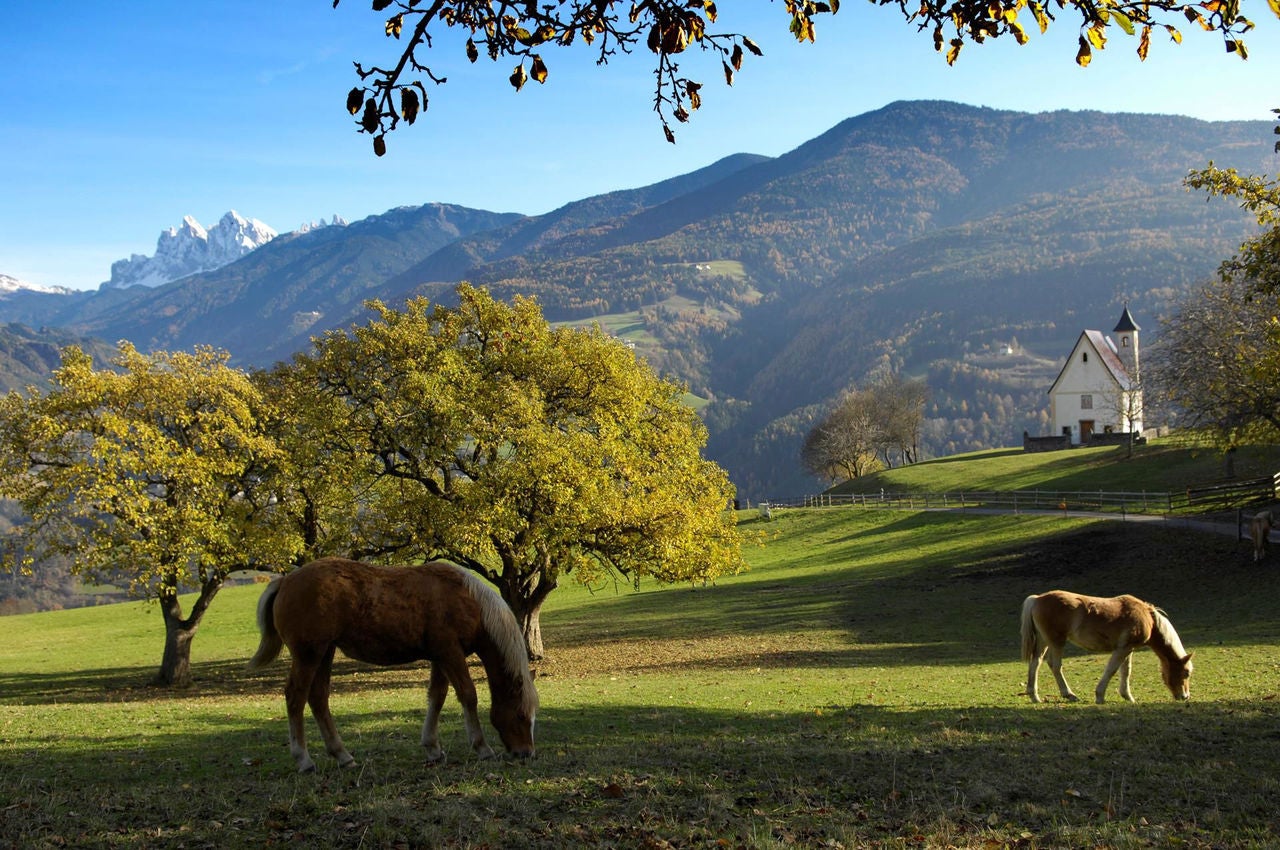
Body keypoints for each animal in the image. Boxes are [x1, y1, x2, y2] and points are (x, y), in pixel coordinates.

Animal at [247, 555, 537, 773]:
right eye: (521, 715)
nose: (525, 753)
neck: (468, 600)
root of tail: (285, 580)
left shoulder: (440, 657)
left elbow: (437, 697)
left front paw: (432, 747)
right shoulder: (451, 653)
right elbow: (468, 695)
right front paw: (482, 748)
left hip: (325, 652)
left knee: (318, 698)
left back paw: (343, 756)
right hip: (308, 655)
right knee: (295, 697)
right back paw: (304, 759)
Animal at [1018, 591, 1187, 701]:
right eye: (1186, 673)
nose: (1185, 696)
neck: (1148, 618)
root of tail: (1037, 599)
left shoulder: (1128, 649)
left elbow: (1126, 671)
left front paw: (1128, 696)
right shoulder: (1123, 649)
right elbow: (1112, 670)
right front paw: (1100, 696)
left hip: (1043, 641)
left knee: (1036, 663)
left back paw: (1034, 696)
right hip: (1056, 641)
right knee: (1055, 665)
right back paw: (1069, 694)